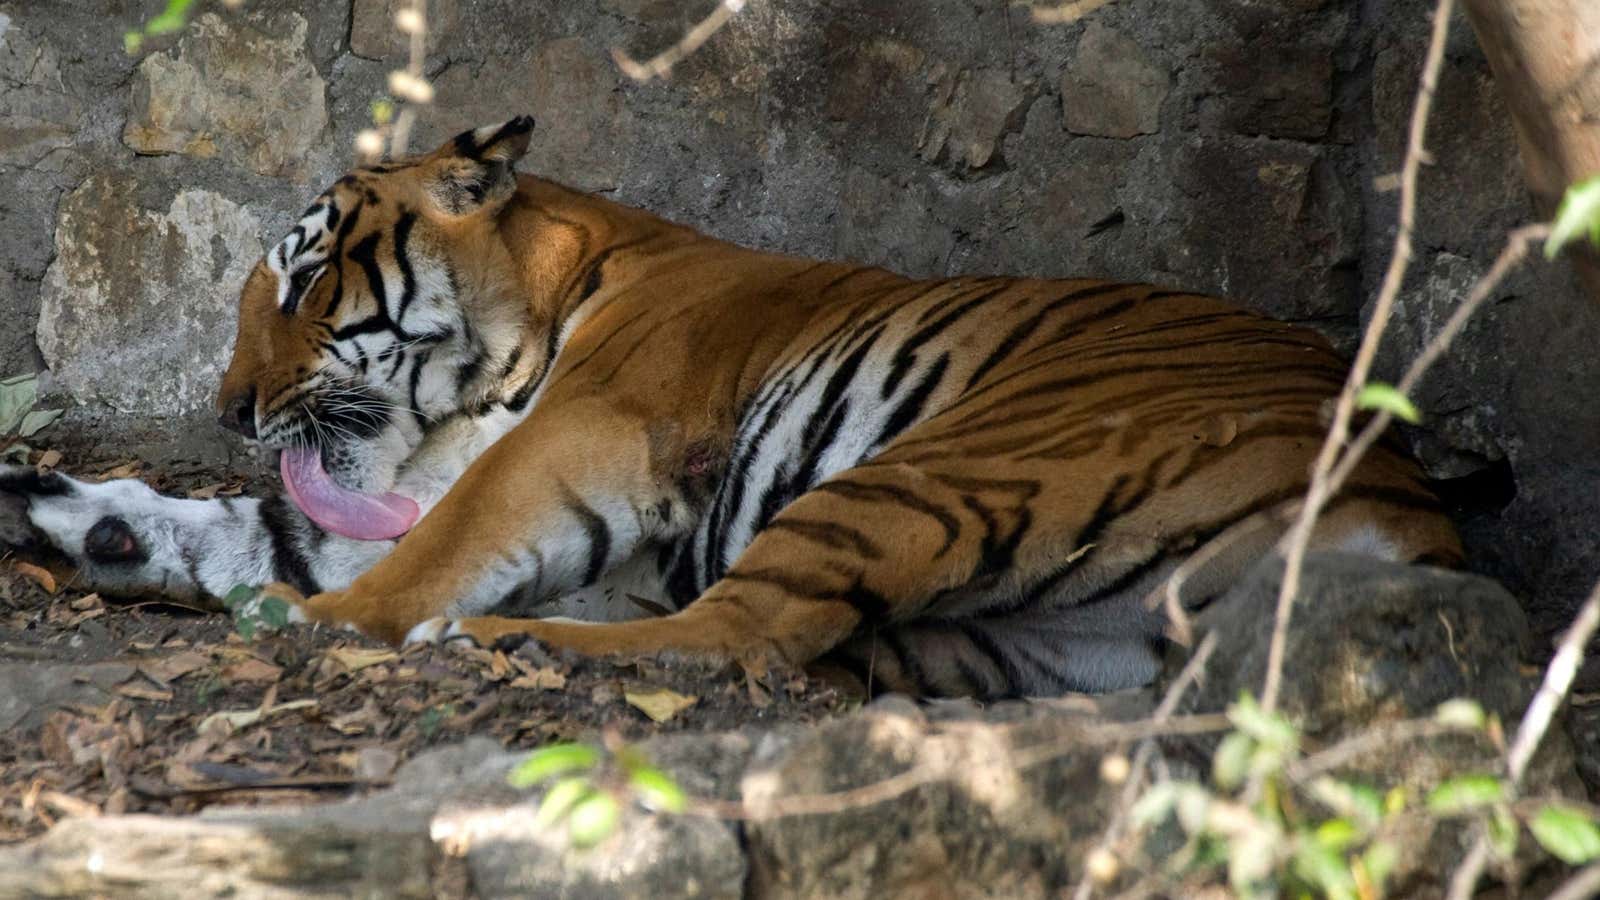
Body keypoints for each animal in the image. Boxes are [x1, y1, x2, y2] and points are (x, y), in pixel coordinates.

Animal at [0, 117, 1465, 695]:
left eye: (308, 286)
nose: (231, 407)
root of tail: (1411, 511)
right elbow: (245, 530)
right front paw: (66, 514)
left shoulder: (585, 435)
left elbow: (425, 551)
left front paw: (329, 624)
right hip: (1039, 640)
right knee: (800, 645)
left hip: (947, 461)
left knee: (745, 631)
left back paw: (506, 643)